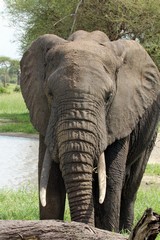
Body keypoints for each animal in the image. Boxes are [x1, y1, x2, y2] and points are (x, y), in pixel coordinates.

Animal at [20, 30, 160, 232]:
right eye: (50, 94)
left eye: (109, 97)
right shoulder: (45, 117)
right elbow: (51, 184)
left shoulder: (121, 113)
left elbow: (110, 183)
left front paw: (107, 232)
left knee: (130, 187)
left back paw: (127, 230)